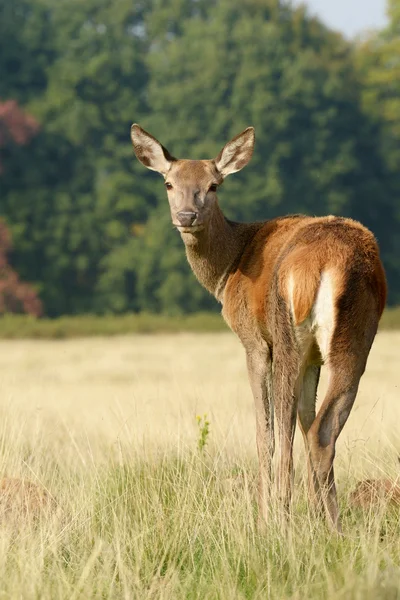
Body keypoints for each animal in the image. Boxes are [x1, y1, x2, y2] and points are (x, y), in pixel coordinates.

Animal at [130, 123, 386, 528]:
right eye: (169, 183)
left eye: (214, 185)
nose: (186, 216)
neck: (229, 270)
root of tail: (327, 262)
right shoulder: (313, 357)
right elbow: (305, 416)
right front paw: (313, 512)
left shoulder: (253, 341)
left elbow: (265, 433)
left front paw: (267, 515)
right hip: (356, 336)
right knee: (322, 428)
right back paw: (332, 525)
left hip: (285, 333)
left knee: (289, 430)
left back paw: (280, 519)